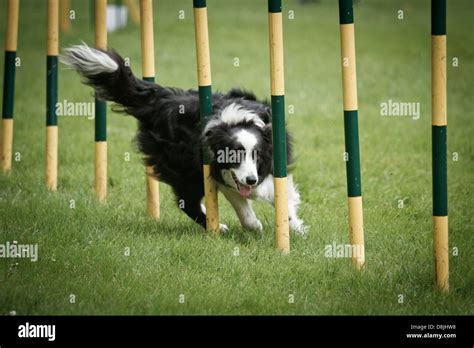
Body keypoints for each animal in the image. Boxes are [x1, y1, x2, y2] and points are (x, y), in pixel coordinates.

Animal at [62, 43, 308, 234]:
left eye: (257, 155)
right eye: (234, 155)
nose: (251, 180)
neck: (235, 121)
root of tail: (162, 100)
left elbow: (282, 196)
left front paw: (295, 226)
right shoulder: (218, 170)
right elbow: (241, 205)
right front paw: (254, 225)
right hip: (184, 168)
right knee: (187, 202)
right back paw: (217, 226)